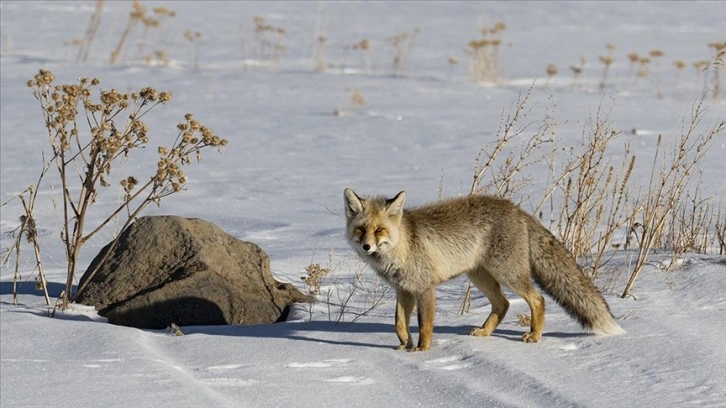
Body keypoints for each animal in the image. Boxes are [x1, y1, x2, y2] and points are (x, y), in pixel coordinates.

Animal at [342, 188, 624, 350]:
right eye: (361, 229)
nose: (367, 246)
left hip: (507, 274)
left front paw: (421, 350)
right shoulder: (403, 290)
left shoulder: (425, 288)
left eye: (380, 230)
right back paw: (485, 332)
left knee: (538, 300)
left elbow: (424, 325)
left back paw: (534, 336)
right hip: (480, 276)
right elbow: (399, 323)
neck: (402, 246)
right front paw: (404, 346)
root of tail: (517, 209)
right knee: (503, 304)